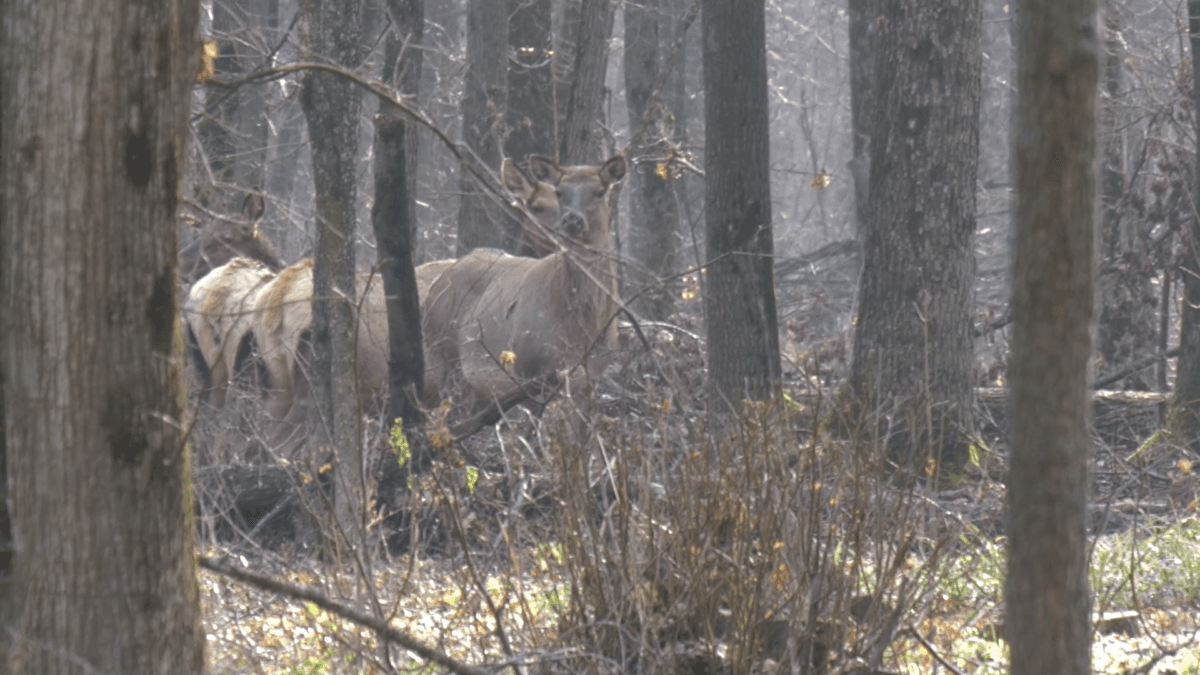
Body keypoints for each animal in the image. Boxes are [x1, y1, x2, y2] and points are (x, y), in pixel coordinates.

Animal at [420, 154, 628, 413]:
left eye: (599, 191)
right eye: (560, 192)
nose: (572, 220)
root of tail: (434, 287)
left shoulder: (593, 374)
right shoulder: (530, 370)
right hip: (445, 359)